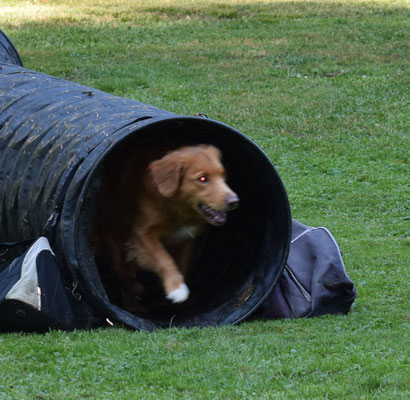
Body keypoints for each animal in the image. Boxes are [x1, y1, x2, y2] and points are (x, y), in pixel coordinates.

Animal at [89, 145, 237, 310]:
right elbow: (163, 258)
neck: (177, 209)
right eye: (203, 179)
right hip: (116, 227)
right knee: (119, 267)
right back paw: (132, 299)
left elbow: (183, 265)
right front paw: (176, 289)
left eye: (223, 176)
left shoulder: (187, 237)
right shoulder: (142, 232)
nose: (234, 201)